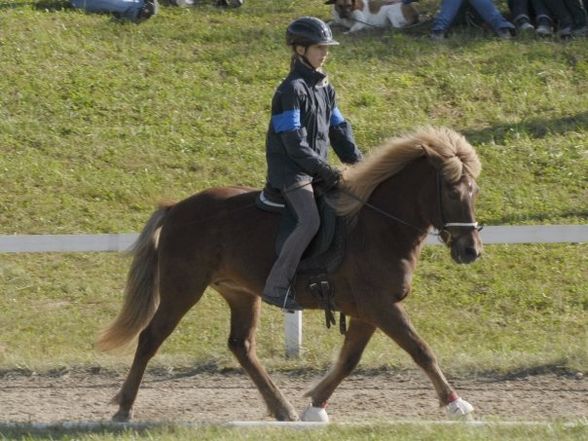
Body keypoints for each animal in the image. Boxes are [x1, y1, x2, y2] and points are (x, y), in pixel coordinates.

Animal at [96, 125, 482, 422]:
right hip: (182, 289)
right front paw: (455, 403)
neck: (377, 225)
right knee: (150, 339)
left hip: (240, 293)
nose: (471, 251)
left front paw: (315, 404)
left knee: (241, 345)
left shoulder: (369, 310)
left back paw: (281, 407)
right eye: (452, 191)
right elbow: (420, 350)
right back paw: (124, 408)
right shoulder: (381, 306)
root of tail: (177, 208)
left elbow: (350, 359)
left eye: (473, 191)